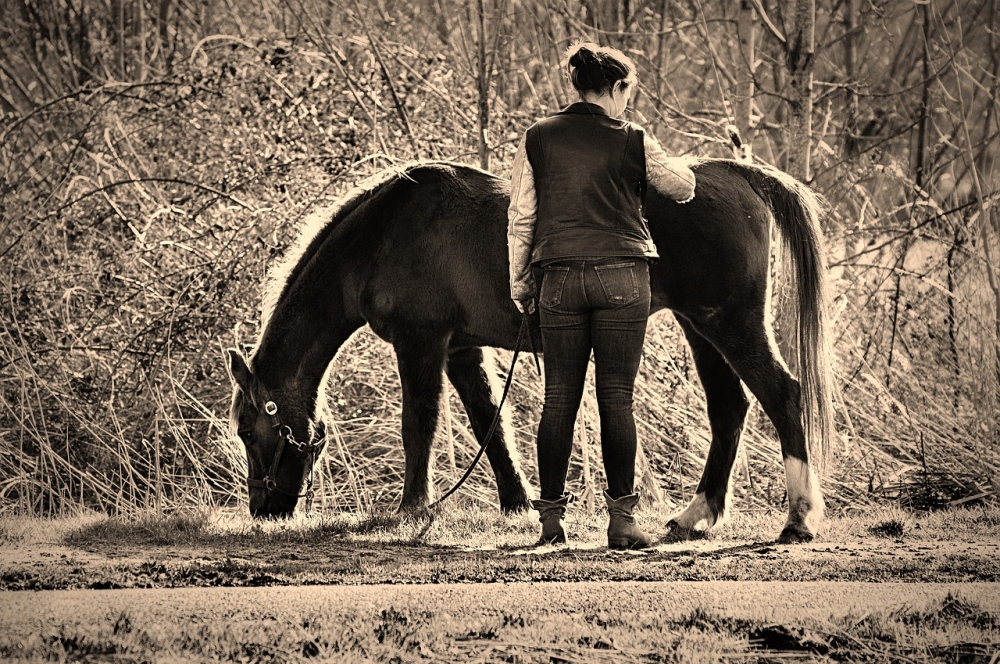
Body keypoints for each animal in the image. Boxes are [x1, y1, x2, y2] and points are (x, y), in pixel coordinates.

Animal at [229, 158, 836, 544]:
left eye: (247, 431)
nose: (263, 510)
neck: (383, 235)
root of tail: (736, 175)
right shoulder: (461, 352)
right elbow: (489, 425)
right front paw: (519, 504)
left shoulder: (420, 342)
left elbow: (419, 423)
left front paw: (412, 507)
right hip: (701, 327)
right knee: (729, 408)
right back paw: (694, 516)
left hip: (729, 324)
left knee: (784, 396)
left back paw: (799, 520)